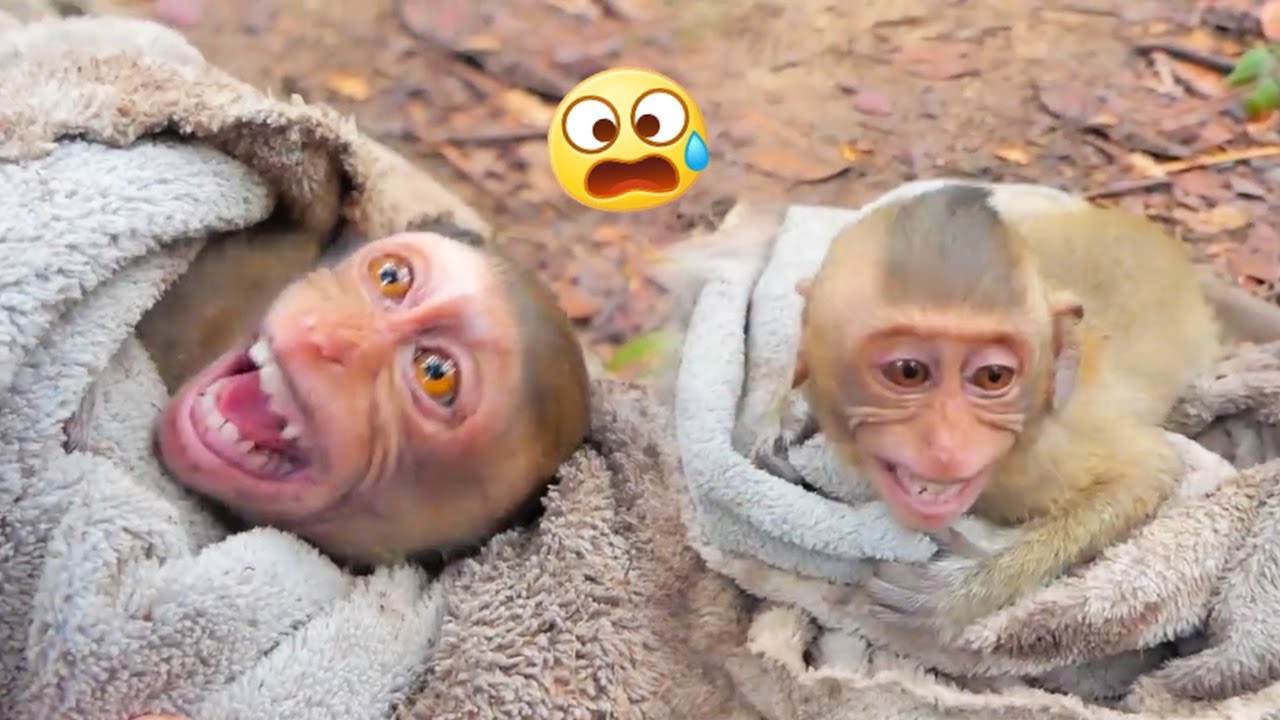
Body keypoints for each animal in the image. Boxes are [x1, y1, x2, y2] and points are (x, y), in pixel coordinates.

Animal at [756, 185, 1239, 639]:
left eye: (992, 377)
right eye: (908, 371)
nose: (947, 445)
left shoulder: (1050, 450)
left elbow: (1149, 471)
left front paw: (960, 593)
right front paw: (790, 415)